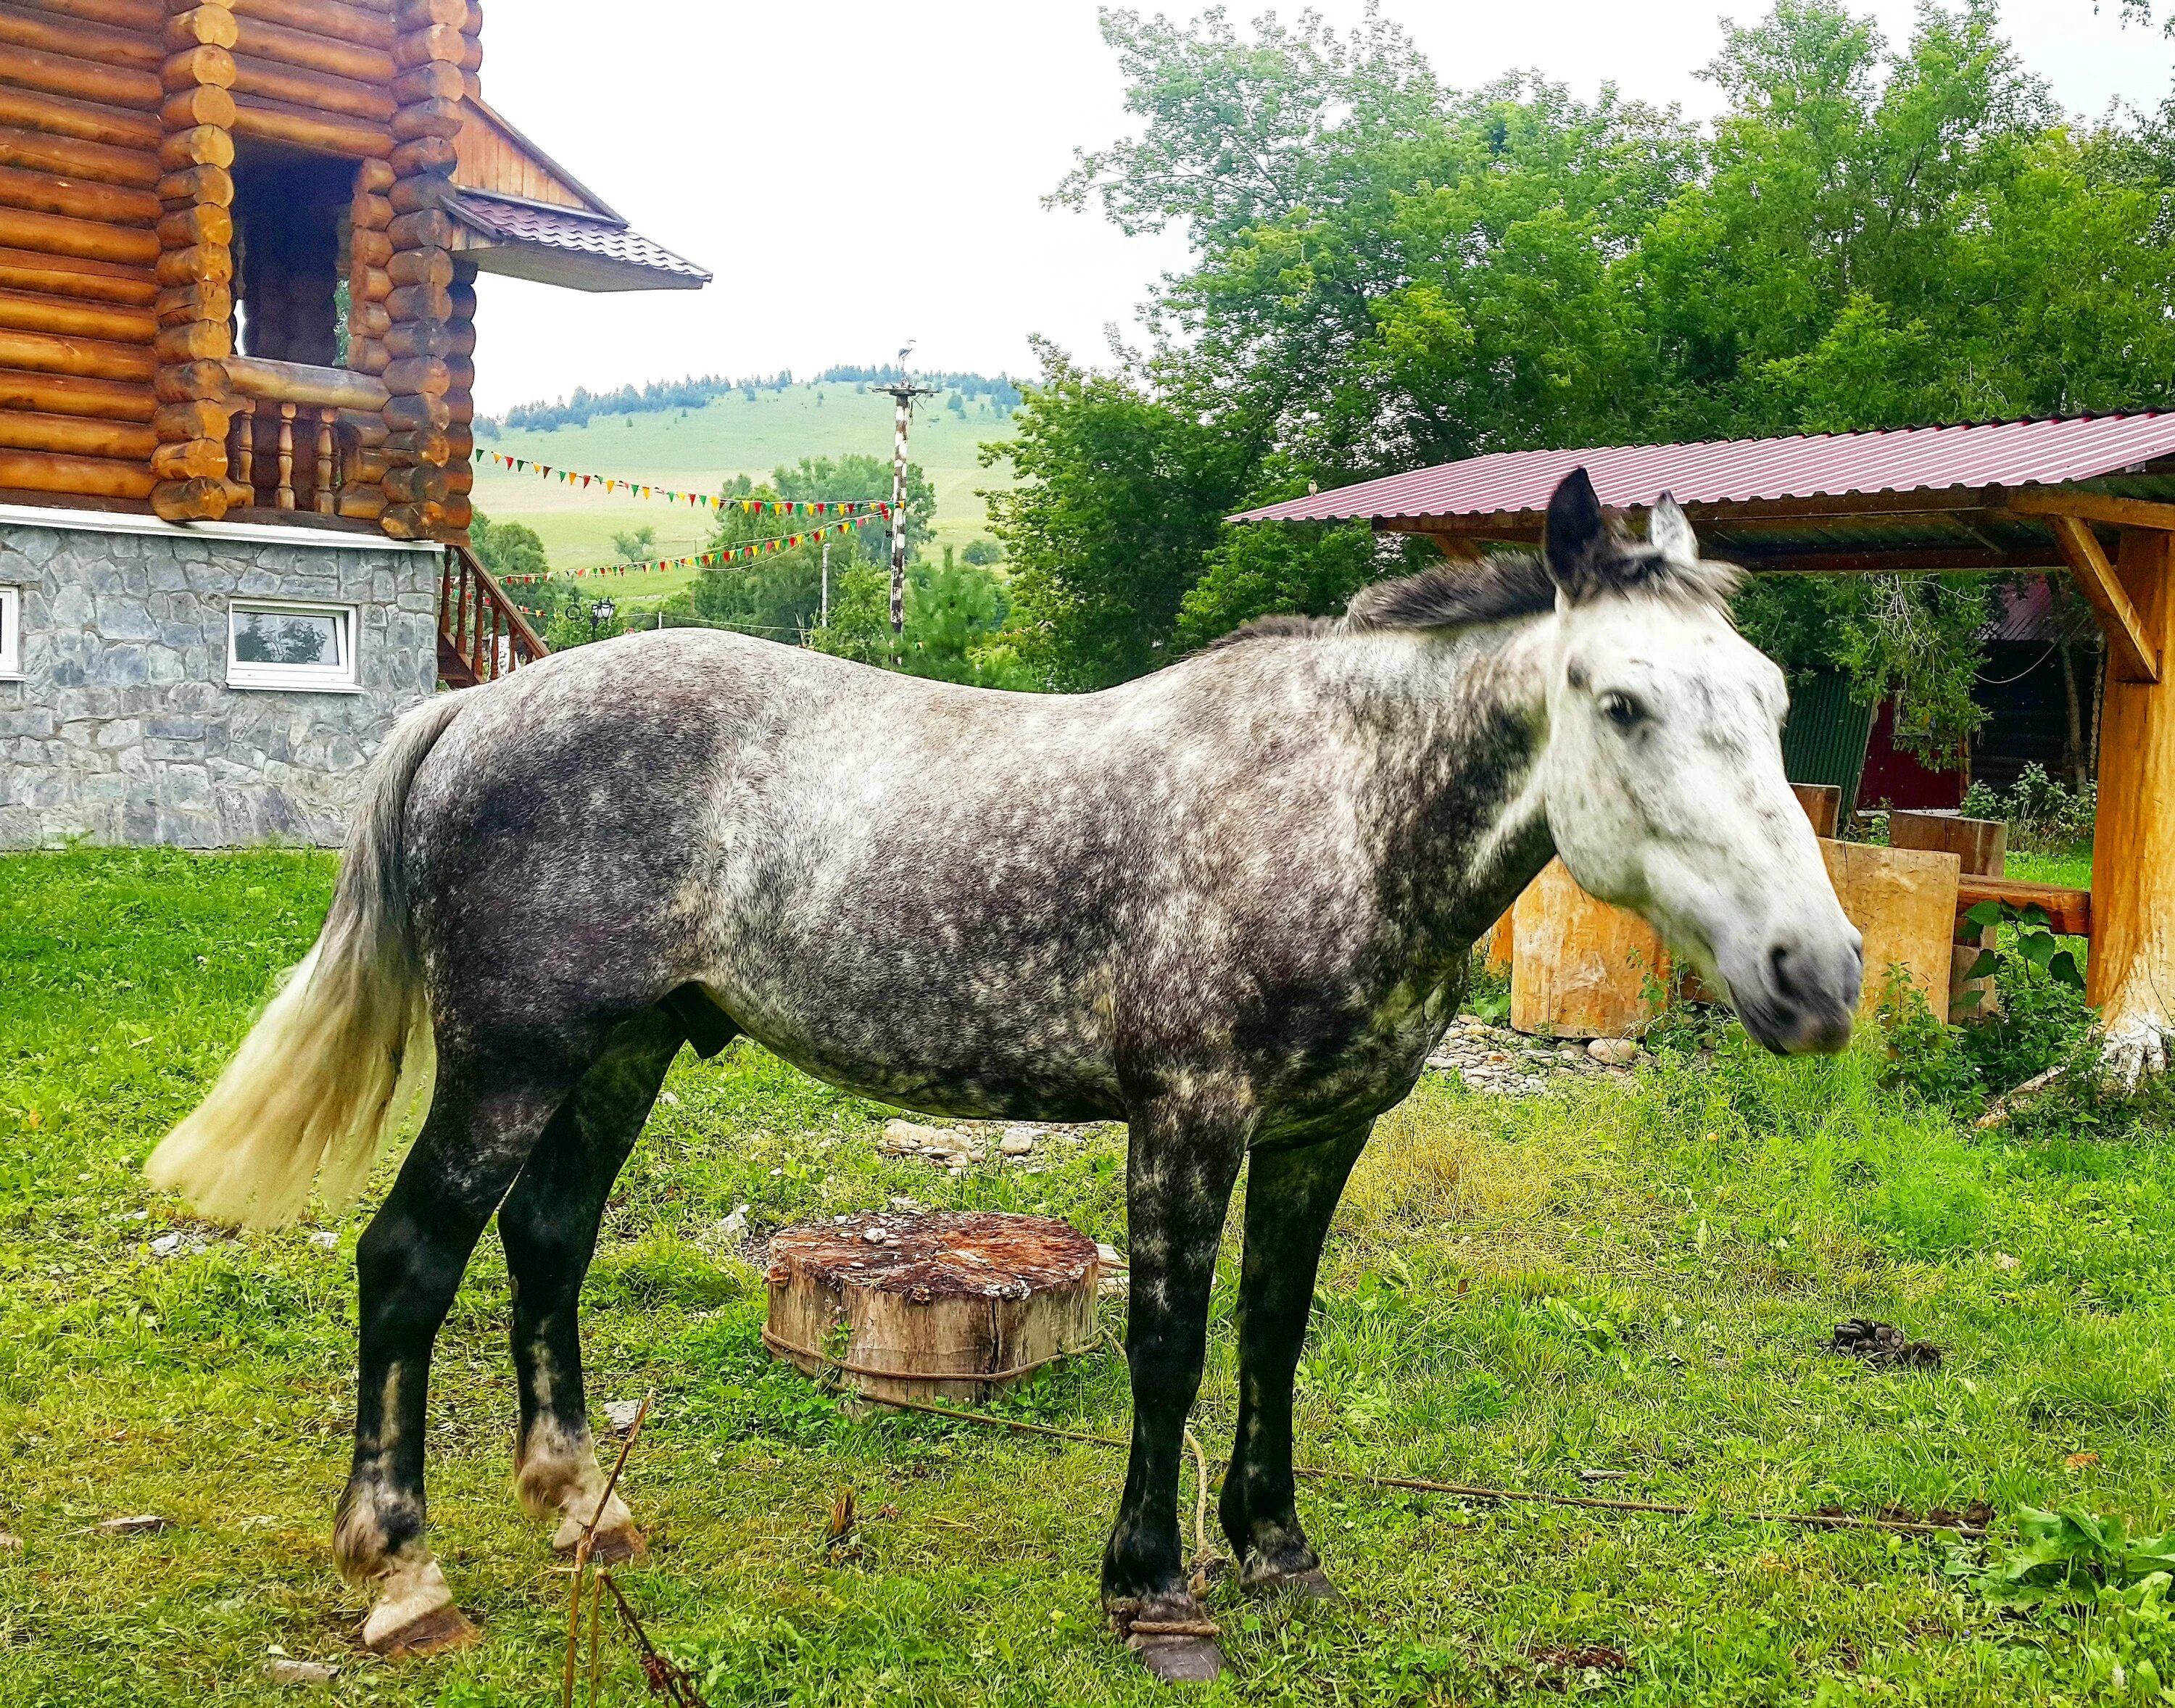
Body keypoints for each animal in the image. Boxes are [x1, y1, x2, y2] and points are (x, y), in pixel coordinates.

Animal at [153, 465, 1862, 1679]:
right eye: (1621, 702)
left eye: (1773, 701)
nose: (1821, 975)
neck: (1329, 803)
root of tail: (480, 702)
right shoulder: (1189, 1119)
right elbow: (1169, 1349)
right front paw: (1153, 1590)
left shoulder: (1321, 1135)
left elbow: (1275, 1336)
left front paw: (1278, 1548)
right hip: (513, 1062)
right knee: (409, 1260)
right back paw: (404, 1573)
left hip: (621, 1053)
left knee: (547, 1244)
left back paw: (587, 1509)